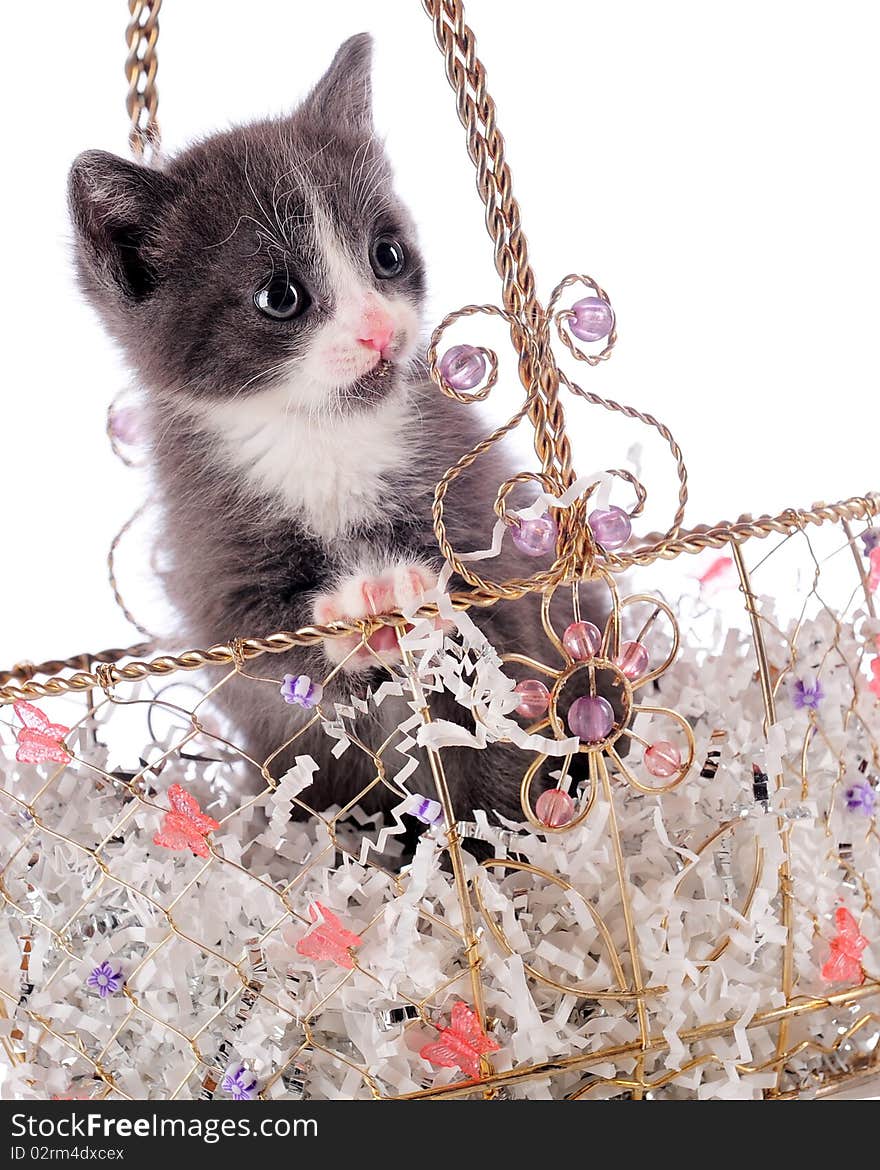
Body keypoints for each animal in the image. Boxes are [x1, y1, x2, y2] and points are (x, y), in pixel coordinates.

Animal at [68, 36, 573, 823]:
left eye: (387, 254)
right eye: (280, 296)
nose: (378, 332)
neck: (321, 435)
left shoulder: (467, 482)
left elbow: (506, 635)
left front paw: (408, 601)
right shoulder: (208, 546)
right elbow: (257, 648)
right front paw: (363, 607)